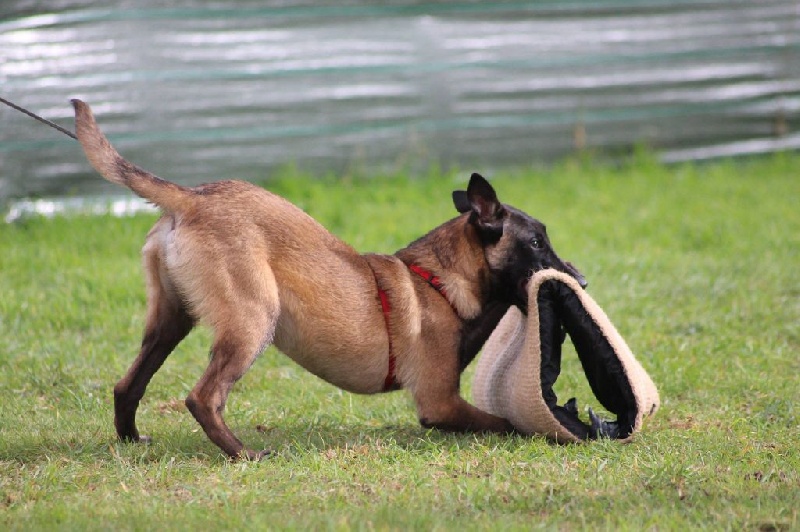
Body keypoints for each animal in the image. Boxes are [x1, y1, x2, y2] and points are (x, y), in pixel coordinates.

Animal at [72, 98, 584, 458]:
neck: (437, 282)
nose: (580, 277)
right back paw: (243, 454)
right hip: (253, 320)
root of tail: (194, 197)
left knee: (127, 386)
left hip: (171, 320)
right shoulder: (439, 403)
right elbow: (508, 423)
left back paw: (131, 440)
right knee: (203, 397)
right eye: (536, 242)